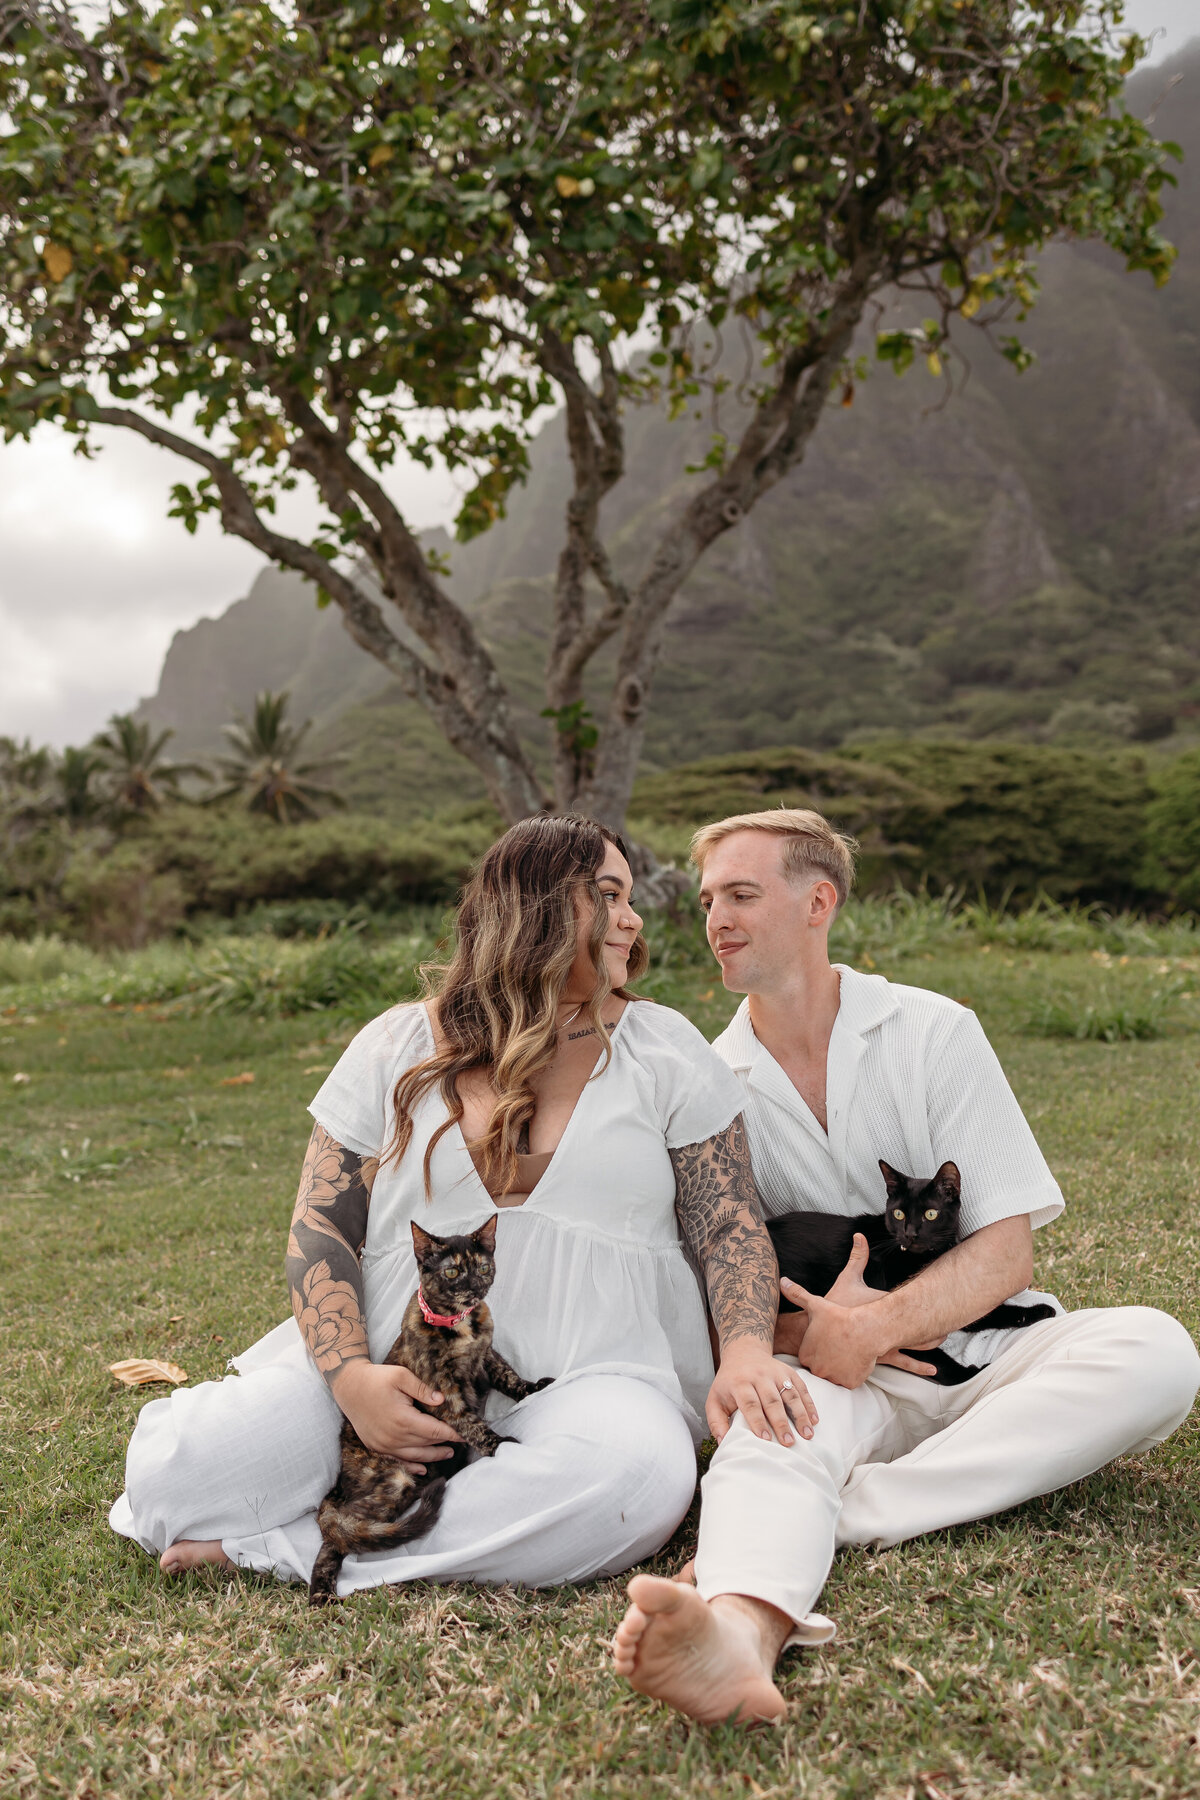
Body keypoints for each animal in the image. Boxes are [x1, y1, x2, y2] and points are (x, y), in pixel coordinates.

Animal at [309, 1209, 554, 1605]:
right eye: (452, 1272)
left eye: (483, 1267)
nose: (475, 1287)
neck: (461, 1326)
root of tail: (340, 1475)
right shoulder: (444, 1393)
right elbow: (470, 1422)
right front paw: (499, 1443)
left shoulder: (487, 1356)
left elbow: (508, 1374)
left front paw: (531, 1388)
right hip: (394, 1481)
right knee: (336, 1532)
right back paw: (320, 1593)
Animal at [766, 1159, 1057, 1382]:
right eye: (898, 1214)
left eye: (930, 1214)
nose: (910, 1233)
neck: (922, 1259)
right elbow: (939, 1364)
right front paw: (973, 1374)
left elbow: (989, 1312)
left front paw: (1039, 1311)